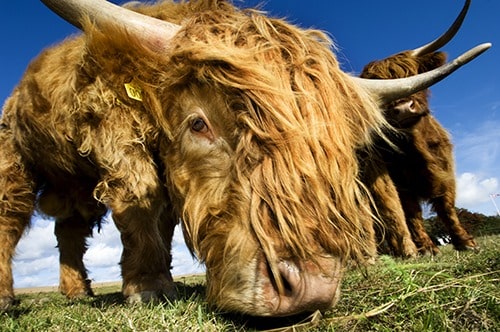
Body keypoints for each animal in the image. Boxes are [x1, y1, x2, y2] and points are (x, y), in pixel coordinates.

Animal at [360, 0, 476, 255]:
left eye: (411, 73)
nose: (403, 108)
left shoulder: (446, 171)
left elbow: (447, 207)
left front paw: (465, 241)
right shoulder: (401, 184)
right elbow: (412, 214)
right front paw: (427, 248)